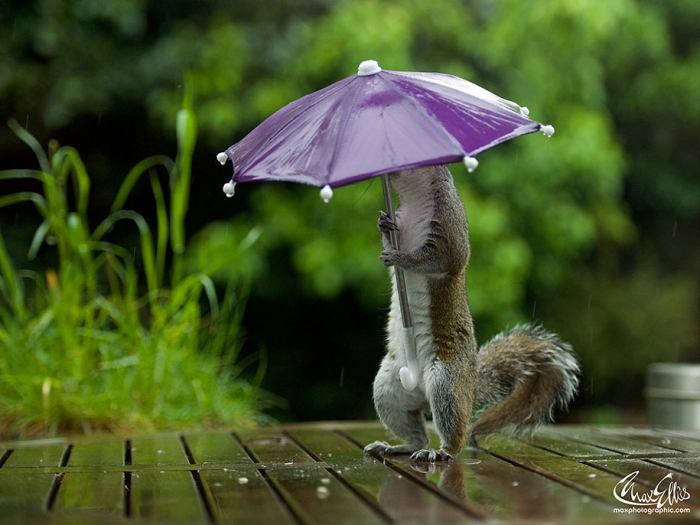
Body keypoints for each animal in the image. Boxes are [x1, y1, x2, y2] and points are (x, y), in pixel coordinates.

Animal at [364, 164, 580, 463]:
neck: (417, 197)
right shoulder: (402, 226)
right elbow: (391, 239)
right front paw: (383, 224)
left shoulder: (450, 229)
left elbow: (440, 259)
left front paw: (401, 259)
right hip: (388, 388)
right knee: (416, 434)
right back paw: (396, 446)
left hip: (445, 383)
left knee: (453, 432)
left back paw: (440, 452)